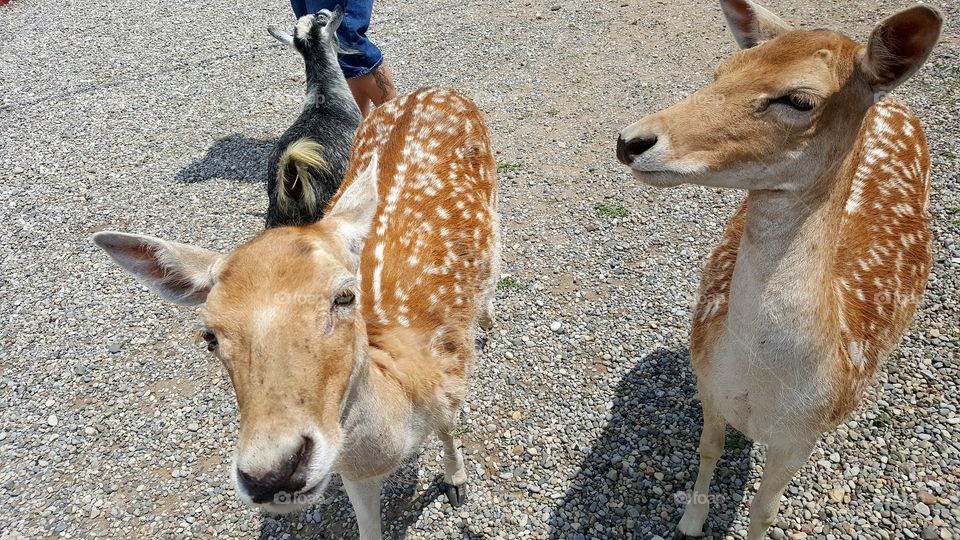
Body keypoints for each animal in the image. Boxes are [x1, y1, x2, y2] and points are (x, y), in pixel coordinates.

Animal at [92, 86, 500, 540]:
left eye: (345, 296)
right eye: (208, 335)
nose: (273, 473)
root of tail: (429, 91)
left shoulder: (451, 376)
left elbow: (449, 430)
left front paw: (456, 482)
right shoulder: (352, 472)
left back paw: (487, 316)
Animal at [616, 1, 942, 538]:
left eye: (800, 99)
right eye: (721, 70)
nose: (632, 140)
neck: (764, 389)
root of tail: (892, 104)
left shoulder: (802, 437)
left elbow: (765, 508)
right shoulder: (709, 385)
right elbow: (708, 450)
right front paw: (690, 521)